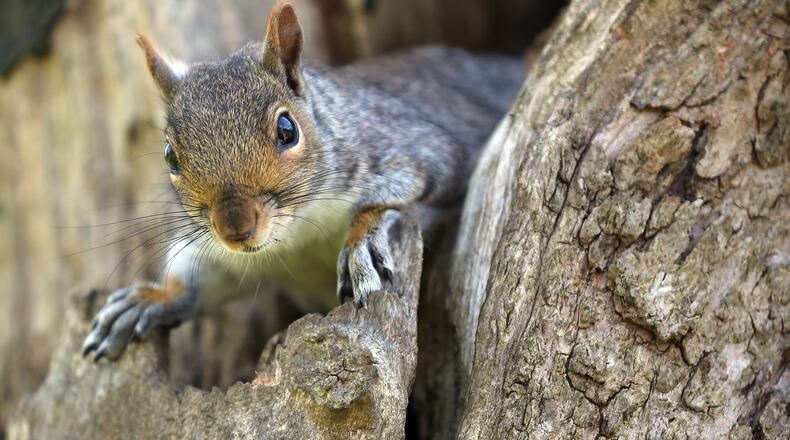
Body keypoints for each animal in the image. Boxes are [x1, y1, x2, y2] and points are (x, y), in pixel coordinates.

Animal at [82, 1, 524, 360]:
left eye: (287, 129)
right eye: (170, 156)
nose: (235, 228)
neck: (297, 234)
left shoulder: (416, 148)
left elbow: (402, 189)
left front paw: (361, 240)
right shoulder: (225, 255)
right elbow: (201, 278)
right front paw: (150, 298)